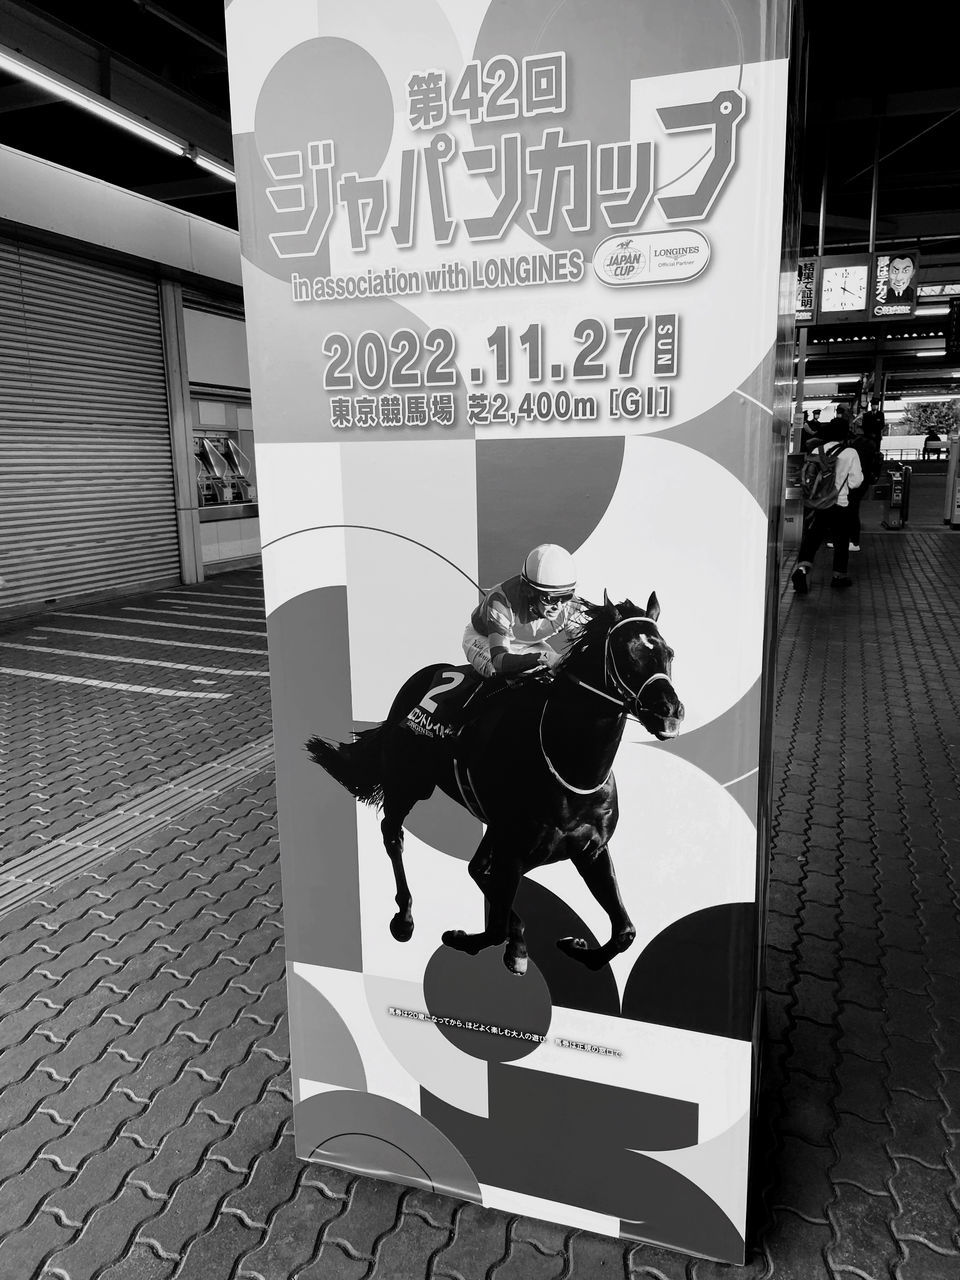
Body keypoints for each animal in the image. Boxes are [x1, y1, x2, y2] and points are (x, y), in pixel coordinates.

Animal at [308, 593, 686, 972]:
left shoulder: (589, 850)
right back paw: (405, 917)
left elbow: (625, 932)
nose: (670, 711)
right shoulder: (513, 850)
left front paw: (575, 945)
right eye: (624, 652)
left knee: (476, 867)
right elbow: (496, 926)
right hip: (408, 782)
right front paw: (466, 939)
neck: (570, 768)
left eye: (668, 652)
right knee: (393, 834)